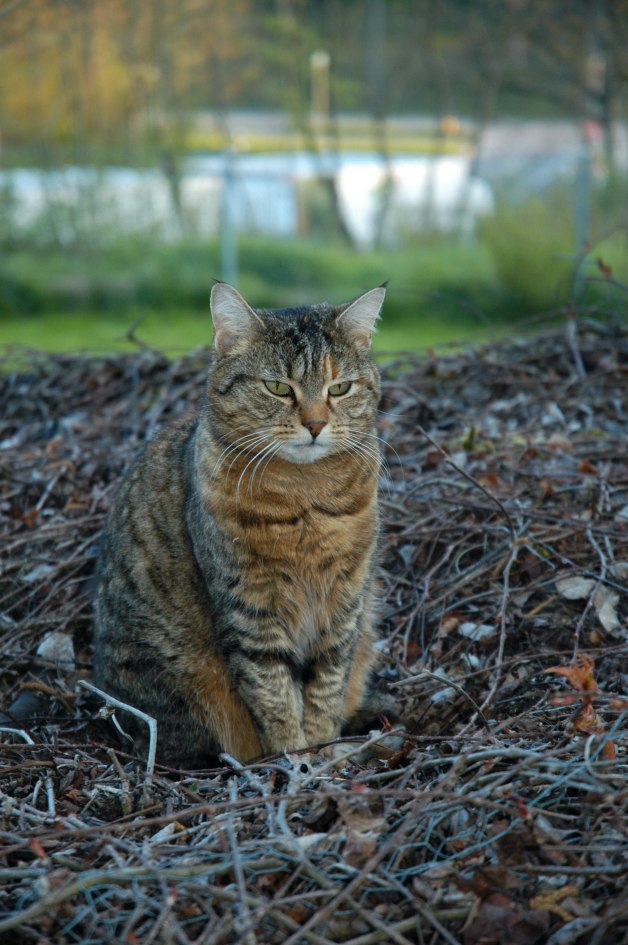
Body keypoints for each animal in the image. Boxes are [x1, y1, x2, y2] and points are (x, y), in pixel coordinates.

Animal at [92, 280, 392, 768]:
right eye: (277, 387)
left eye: (341, 388)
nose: (316, 424)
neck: (305, 497)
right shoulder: (250, 606)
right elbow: (274, 694)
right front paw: (296, 756)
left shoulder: (345, 601)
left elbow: (326, 685)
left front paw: (321, 747)